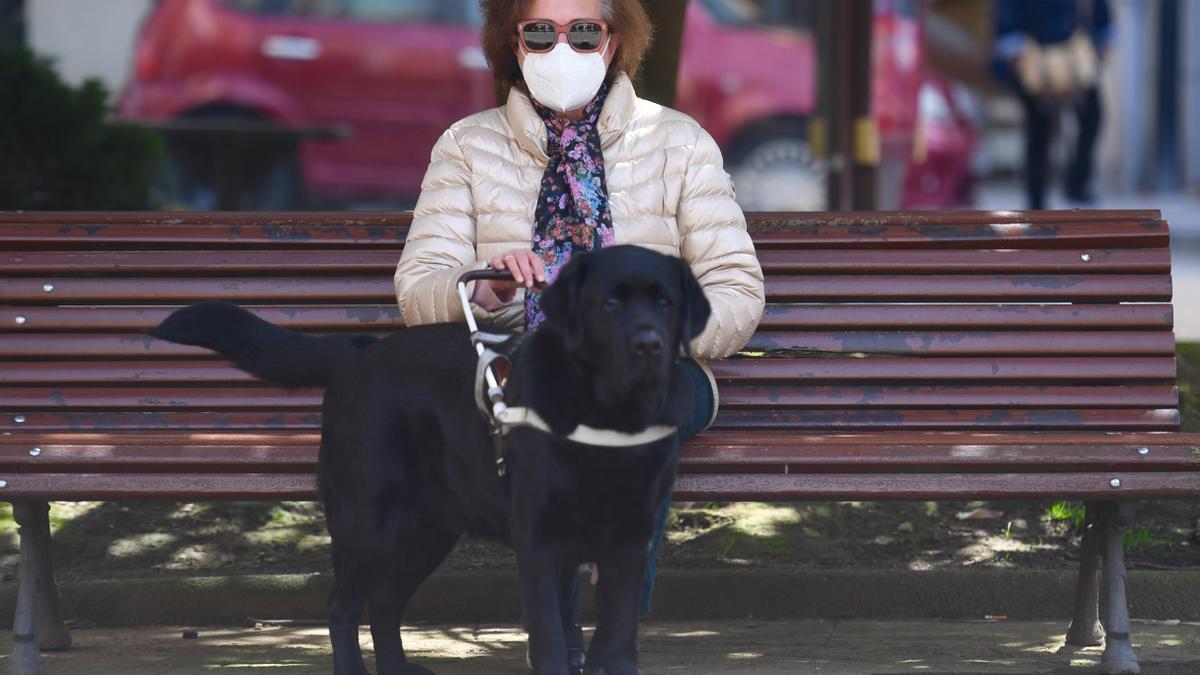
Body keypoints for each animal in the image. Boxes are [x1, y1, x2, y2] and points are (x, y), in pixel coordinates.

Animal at [150, 242, 710, 672]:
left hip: (427, 528)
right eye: (610, 303)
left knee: (384, 603)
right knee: (343, 605)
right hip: (370, 522)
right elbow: (551, 638)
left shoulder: (631, 542)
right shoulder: (538, 542)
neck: (609, 414)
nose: (648, 344)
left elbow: (616, 642)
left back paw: (397, 668)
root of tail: (359, 352)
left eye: (666, 303)